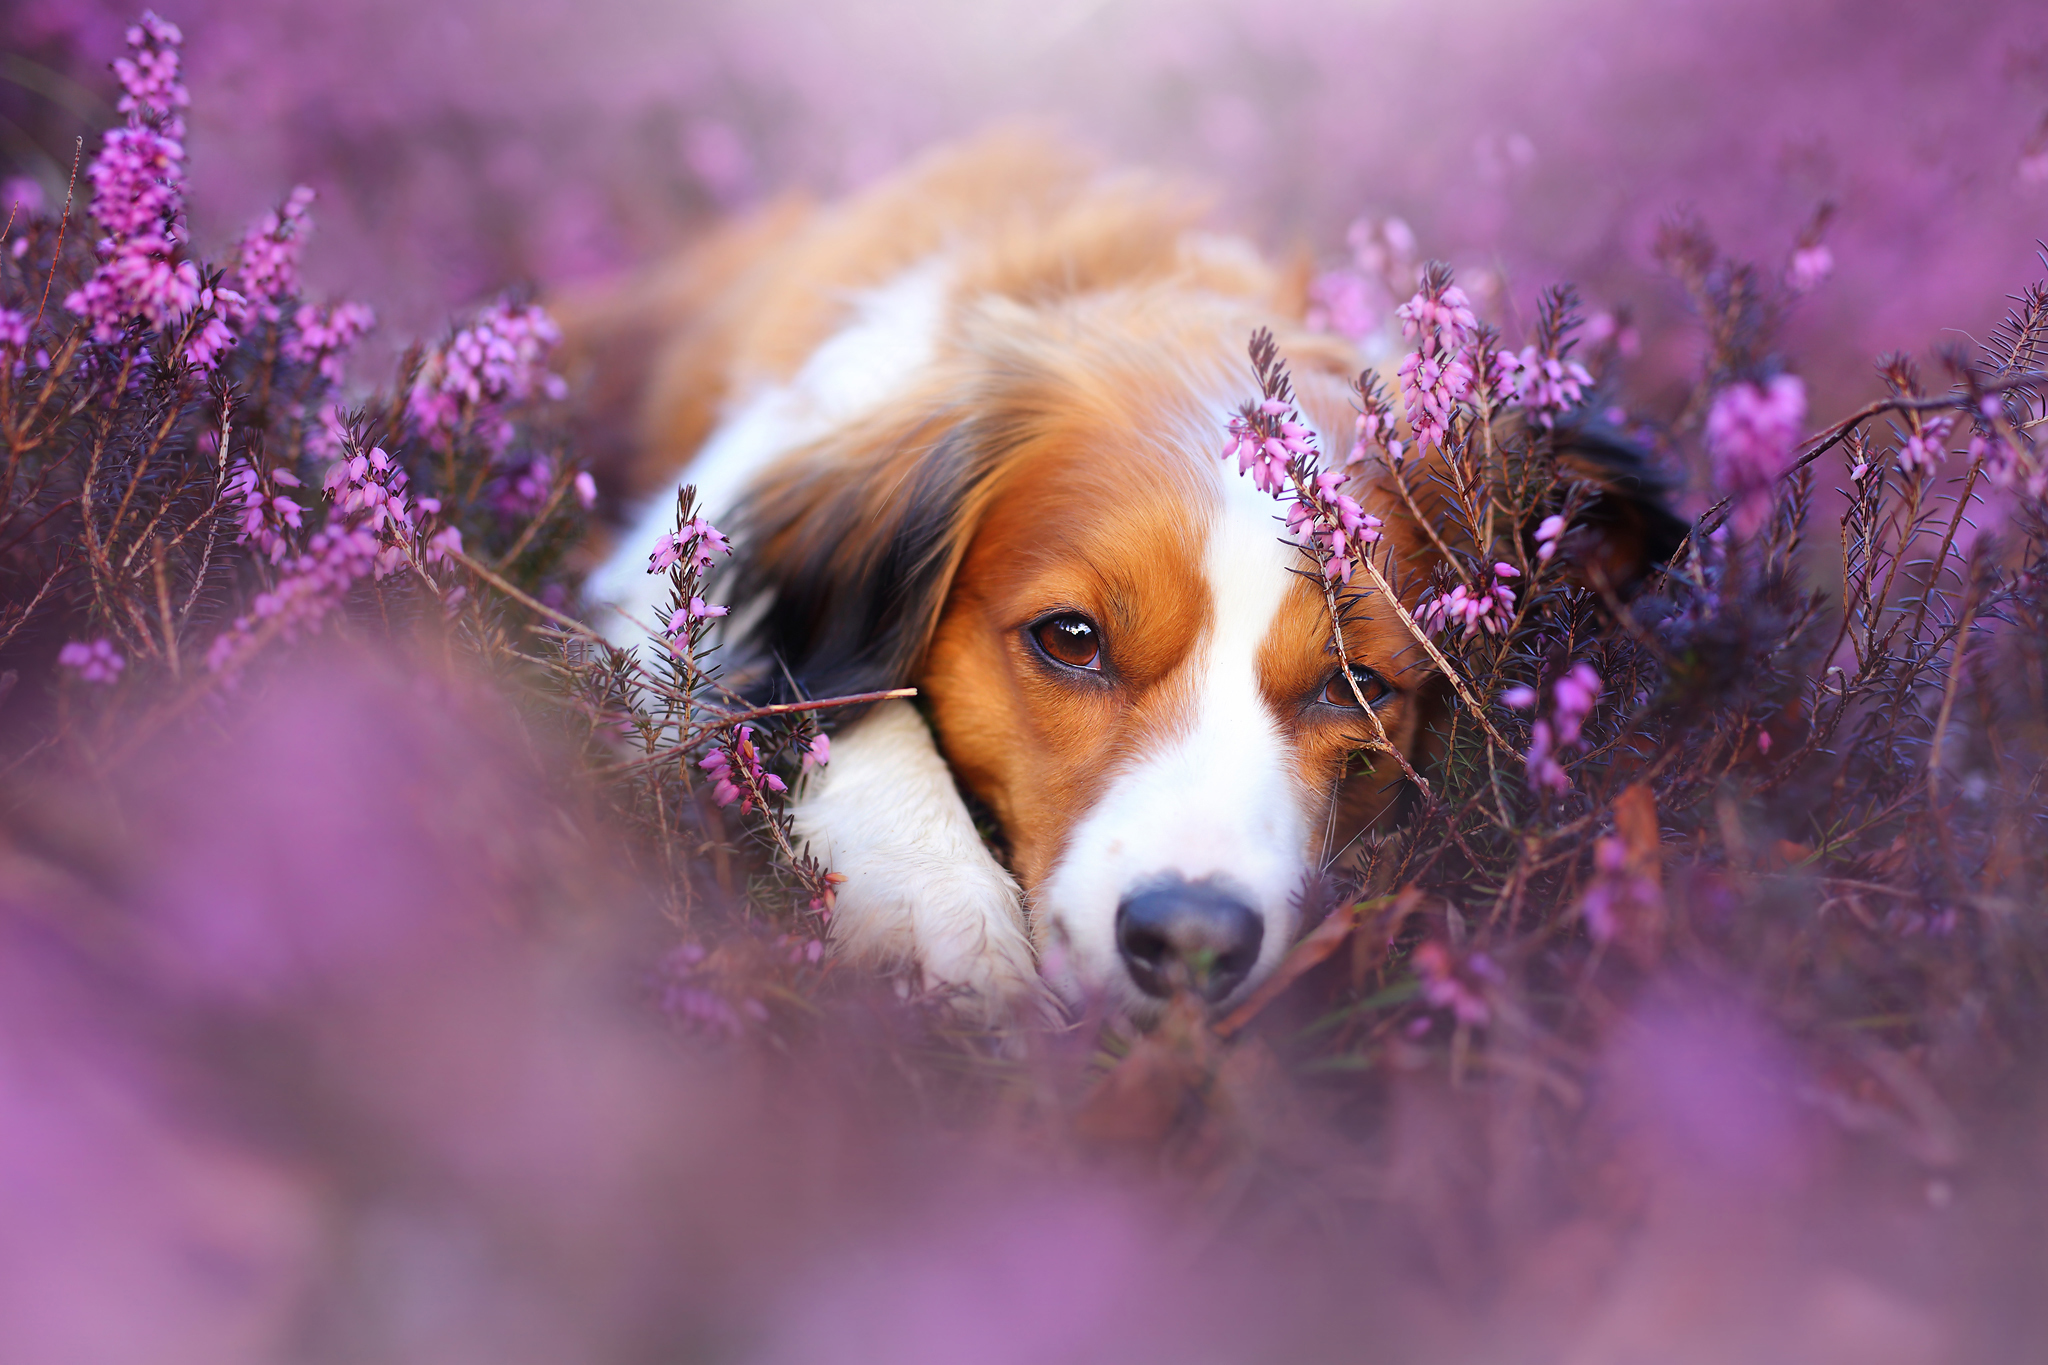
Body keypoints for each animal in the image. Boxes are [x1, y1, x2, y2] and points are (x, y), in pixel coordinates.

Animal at [569, 130, 1671, 1023]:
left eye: (1355, 685)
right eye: (1070, 639)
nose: (1190, 941)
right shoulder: (664, 588)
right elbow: (840, 714)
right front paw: (940, 912)